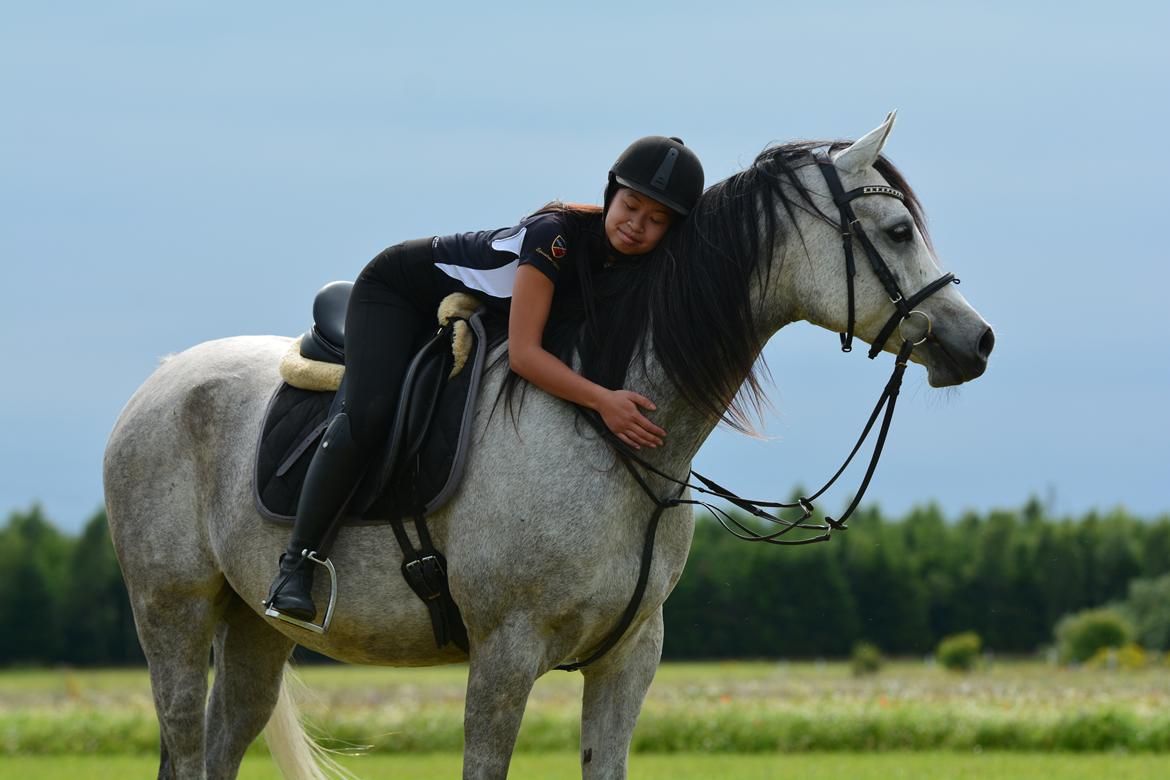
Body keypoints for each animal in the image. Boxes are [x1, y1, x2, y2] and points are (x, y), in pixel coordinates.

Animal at [102, 114, 996, 780]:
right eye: (897, 229)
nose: (977, 341)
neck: (607, 440)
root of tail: (158, 382)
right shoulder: (504, 656)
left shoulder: (628, 659)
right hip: (173, 613)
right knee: (185, 736)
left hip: (252, 628)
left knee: (223, 740)